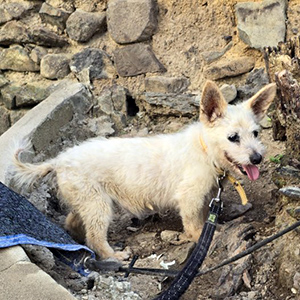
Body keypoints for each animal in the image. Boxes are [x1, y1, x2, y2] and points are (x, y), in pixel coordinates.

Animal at [13, 80, 276, 260]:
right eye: (233, 137)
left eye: (256, 133)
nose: (257, 158)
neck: (205, 150)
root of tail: (59, 160)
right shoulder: (189, 197)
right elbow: (194, 225)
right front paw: (202, 238)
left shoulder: (203, 197)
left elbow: (202, 218)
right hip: (98, 204)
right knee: (95, 236)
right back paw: (113, 256)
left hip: (87, 201)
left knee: (74, 221)